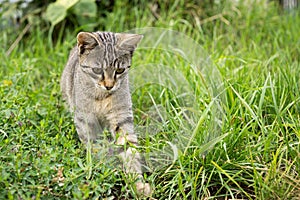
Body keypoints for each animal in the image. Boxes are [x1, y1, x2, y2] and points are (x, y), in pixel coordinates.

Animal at [60, 31, 151, 197]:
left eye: (120, 70)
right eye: (97, 70)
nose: (109, 86)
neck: (102, 97)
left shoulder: (121, 117)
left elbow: (130, 150)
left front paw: (137, 183)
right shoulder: (85, 119)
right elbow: (95, 145)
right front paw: (103, 168)